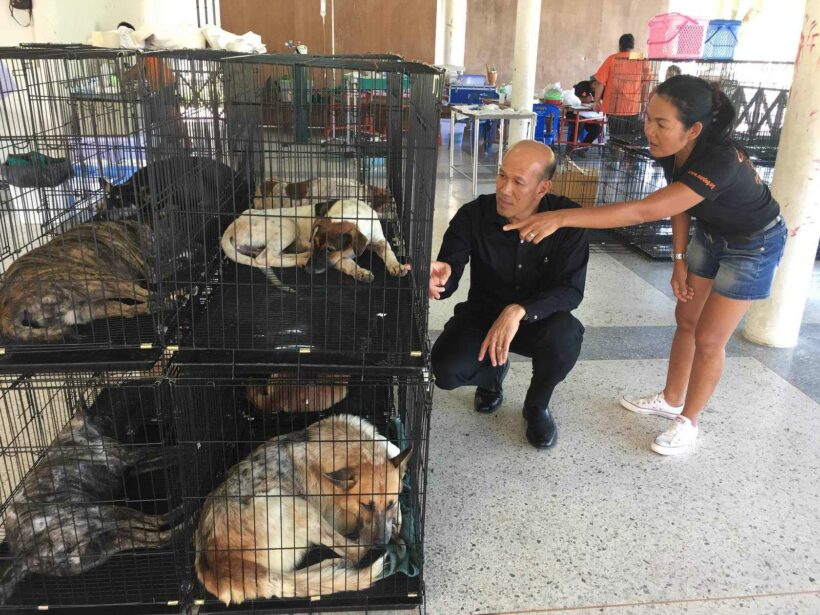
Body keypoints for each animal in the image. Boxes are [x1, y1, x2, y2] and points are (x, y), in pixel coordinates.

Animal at [0, 382, 181, 604]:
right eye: (106, 415)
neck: (76, 428)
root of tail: (25, 553)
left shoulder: (133, 466)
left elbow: (164, 457)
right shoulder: (130, 456)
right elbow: (166, 451)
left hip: (101, 547)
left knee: (159, 538)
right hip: (103, 514)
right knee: (155, 523)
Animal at [191, 416, 410, 604]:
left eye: (389, 504)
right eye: (365, 505)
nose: (382, 542)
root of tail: (218, 564)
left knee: (290, 577)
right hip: (293, 504)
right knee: (354, 552)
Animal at [219, 199, 408, 286]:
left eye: (329, 249)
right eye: (314, 242)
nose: (309, 271)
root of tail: (236, 221)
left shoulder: (380, 240)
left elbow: (389, 252)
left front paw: (396, 266)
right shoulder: (336, 259)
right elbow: (347, 262)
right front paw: (360, 271)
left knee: (267, 256)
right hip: (287, 226)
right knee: (266, 258)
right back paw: (302, 258)